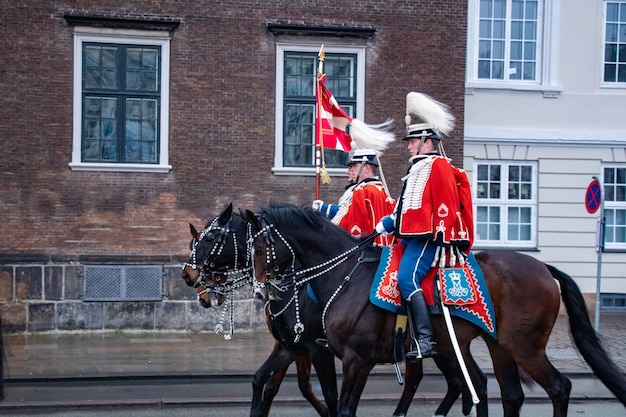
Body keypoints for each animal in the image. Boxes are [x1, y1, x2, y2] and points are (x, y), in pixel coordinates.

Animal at [244, 203, 624, 416]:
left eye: (260, 247)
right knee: (509, 394)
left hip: (524, 348)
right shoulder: (302, 349)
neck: (344, 274)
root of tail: (544, 268)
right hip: (496, 346)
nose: (261, 292)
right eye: (248, 246)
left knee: (559, 388)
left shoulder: (355, 360)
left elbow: (343, 407)